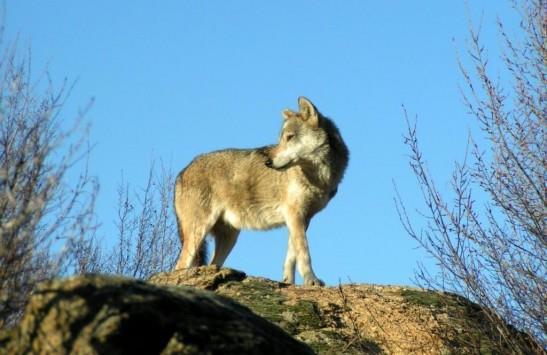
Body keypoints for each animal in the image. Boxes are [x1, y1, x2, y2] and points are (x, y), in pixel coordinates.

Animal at [173, 97, 348, 286]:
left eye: (289, 137)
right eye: (281, 139)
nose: (268, 162)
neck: (318, 178)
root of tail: (181, 173)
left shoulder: (302, 218)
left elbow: (291, 256)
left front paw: (288, 282)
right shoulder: (294, 214)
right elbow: (304, 252)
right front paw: (311, 280)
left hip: (229, 237)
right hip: (198, 233)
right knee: (179, 266)